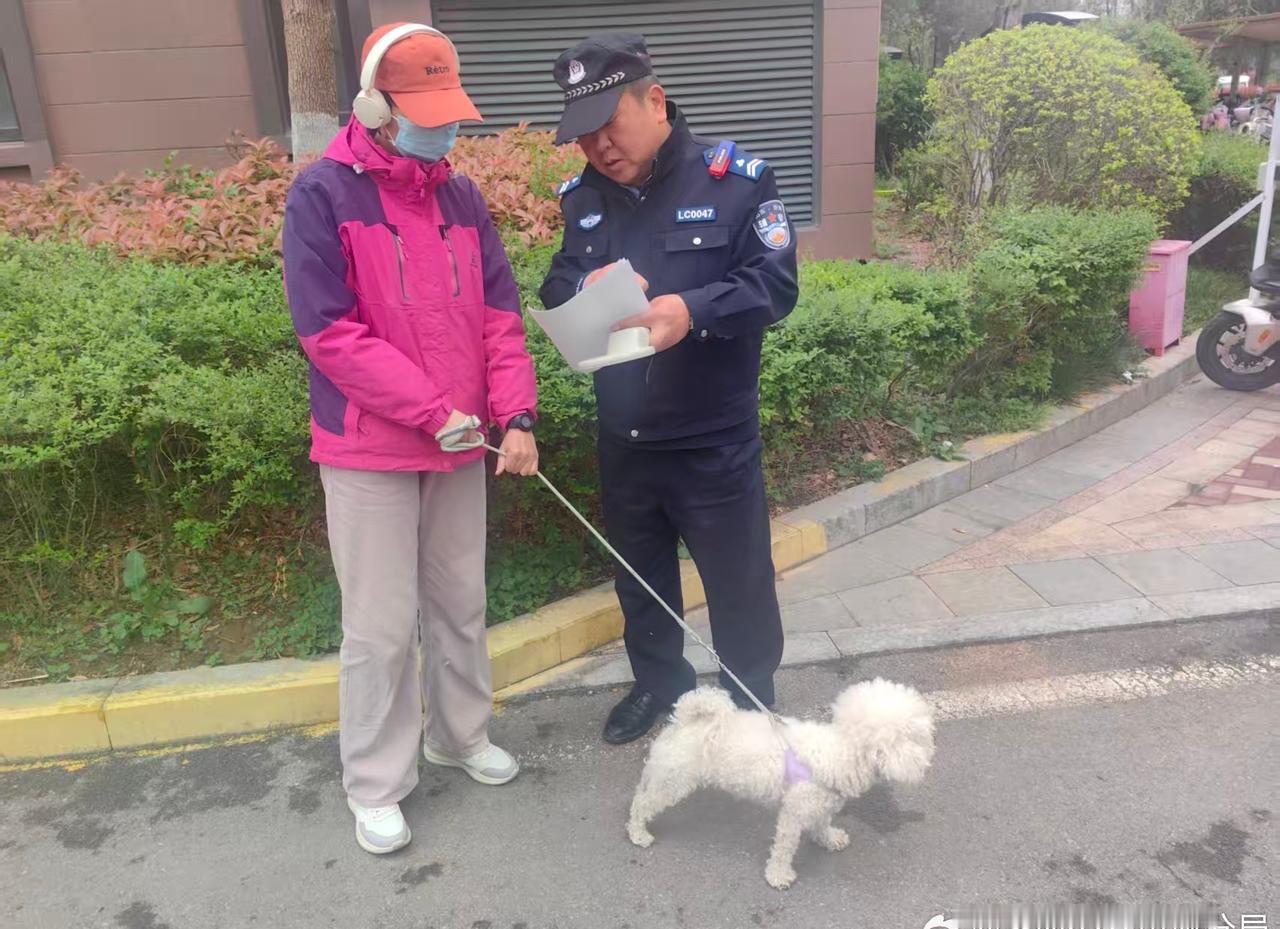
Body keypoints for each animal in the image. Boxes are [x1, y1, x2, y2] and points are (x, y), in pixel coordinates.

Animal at [626, 679, 935, 889]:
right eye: (917, 737)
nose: (929, 757)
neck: (840, 752)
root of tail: (685, 720)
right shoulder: (793, 814)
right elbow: (784, 848)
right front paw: (778, 875)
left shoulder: (817, 803)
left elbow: (822, 823)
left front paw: (829, 838)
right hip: (674, 781)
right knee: (642, 803)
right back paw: (638, 833)